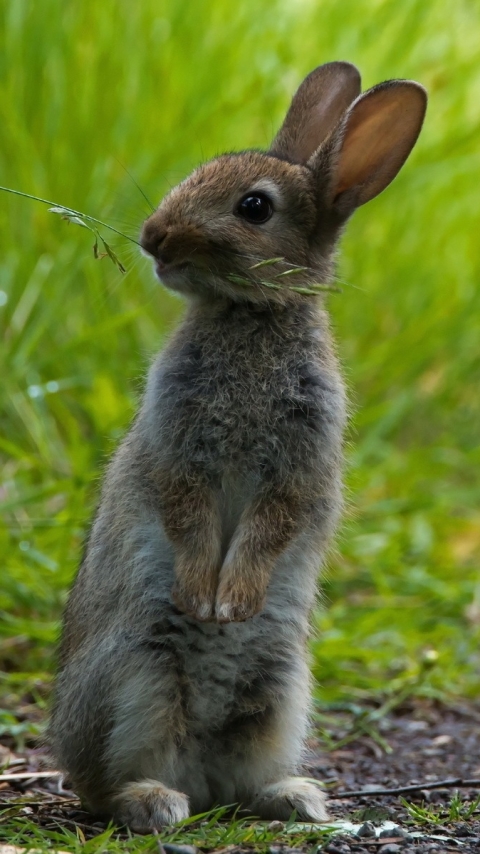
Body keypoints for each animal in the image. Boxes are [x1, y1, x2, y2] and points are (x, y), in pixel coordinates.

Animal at [48, 61, 426, 836]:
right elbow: (187, 512)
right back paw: (155, 801)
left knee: (236, 779)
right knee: (104, 785)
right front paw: (205, 600)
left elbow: (271, 525)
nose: (153, 237)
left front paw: (232, 606)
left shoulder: (299, 468)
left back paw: (293, 797)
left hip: (279, 690)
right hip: (137, 675)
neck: (250, 316)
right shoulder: (178, 450)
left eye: (254, 207)